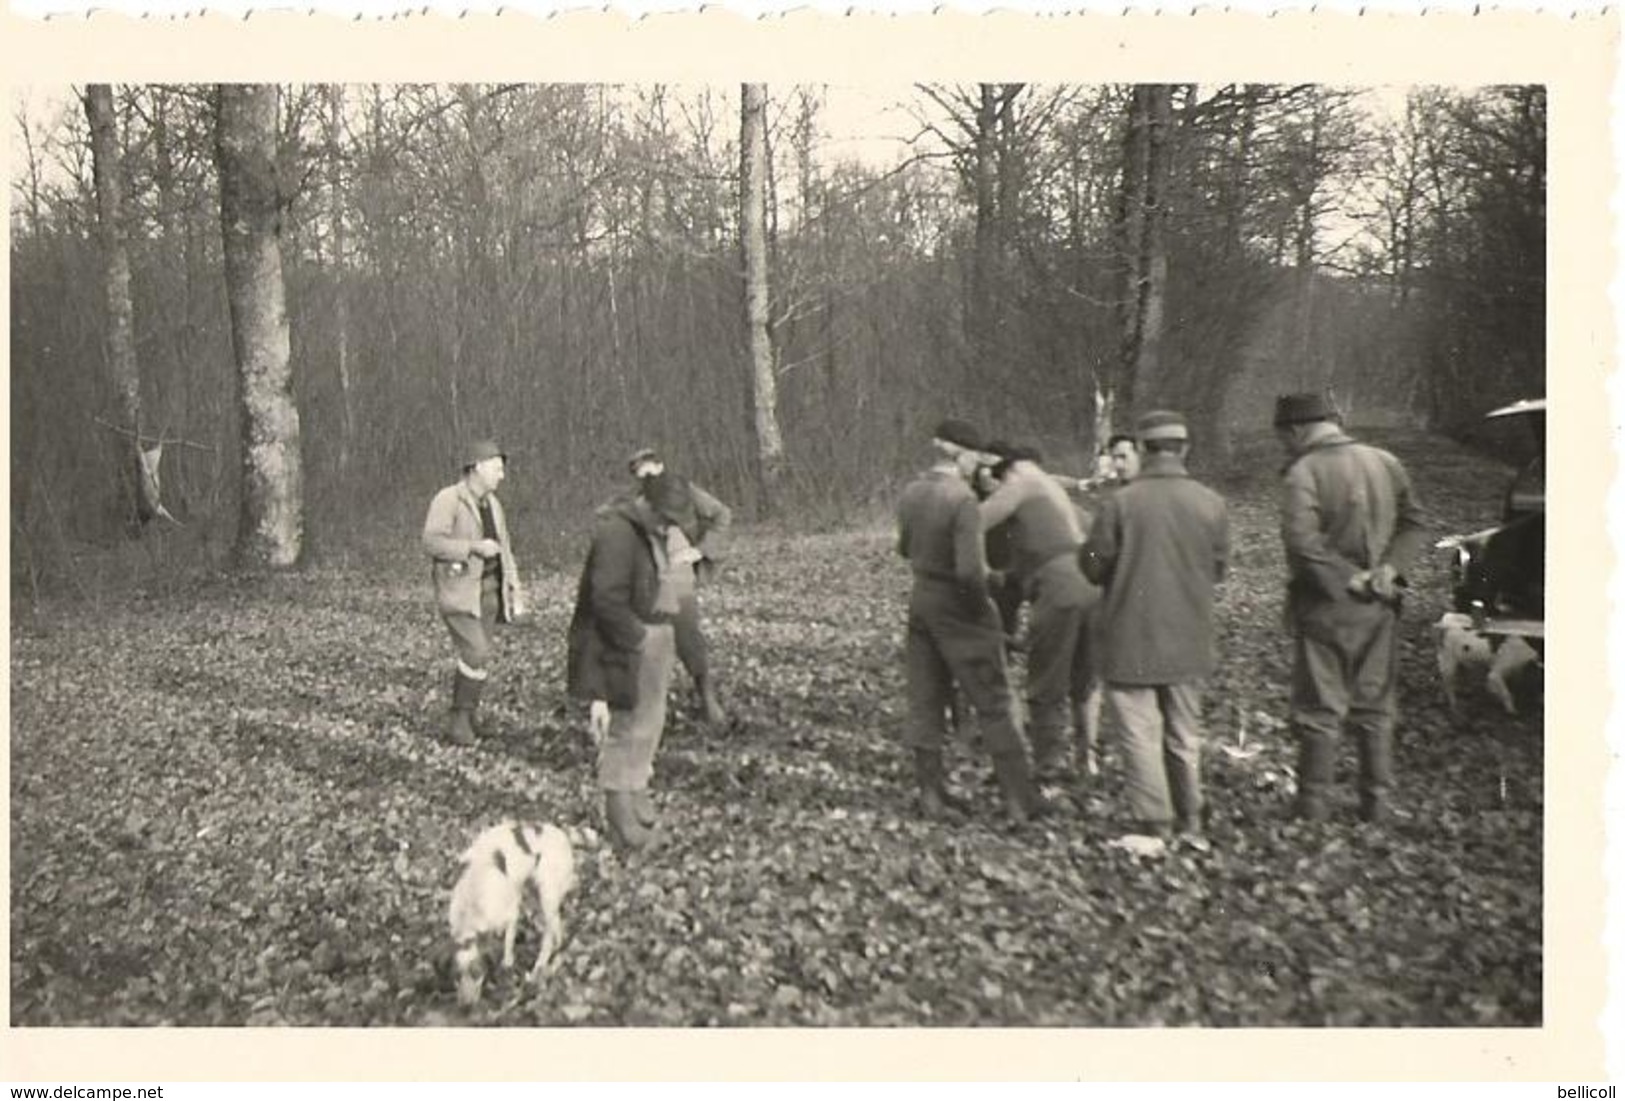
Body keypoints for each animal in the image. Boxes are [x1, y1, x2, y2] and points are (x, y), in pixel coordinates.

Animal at [451, 818, 585, 1006]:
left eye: (477, 973)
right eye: (455, 977)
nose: (465, 1007)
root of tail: (563, 835)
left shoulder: (510, 913)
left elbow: (508, 944)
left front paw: (507, 963)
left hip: (546, 895)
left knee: (549, 934)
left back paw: (540, 965)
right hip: (534, 889)